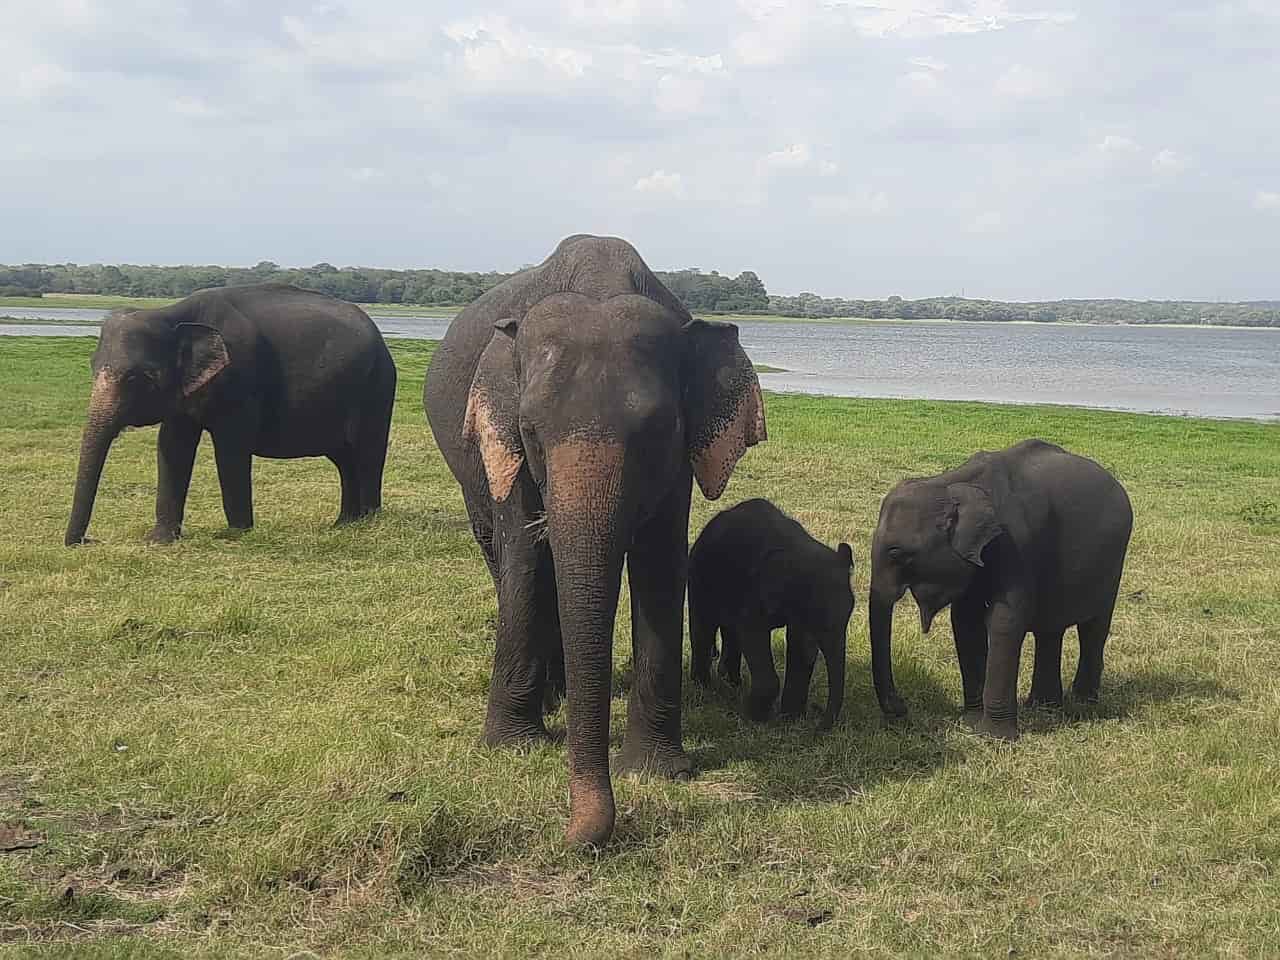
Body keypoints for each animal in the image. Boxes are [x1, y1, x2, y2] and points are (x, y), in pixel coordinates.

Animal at [65, 283, 396, 546]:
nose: (88, 540)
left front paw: (235, 534)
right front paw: (159, 540)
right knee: (345, 459)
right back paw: (344, 524)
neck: (171, 313)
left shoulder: (241, 379)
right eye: (92, 367)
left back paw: (368, 522)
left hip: (377, 388)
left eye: (138, 378)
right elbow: (172, 446)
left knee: (366, 453)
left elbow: (230, 447)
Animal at [424, 235, 766, 847]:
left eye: (659, 431)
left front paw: (656, 772)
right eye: (530, 431)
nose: (572, 836)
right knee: (500, 557)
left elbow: (660, 564)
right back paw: (552, 696)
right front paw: (512, 747)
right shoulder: (506, 447)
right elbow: (527, 560)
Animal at [688, 498, 853, 730]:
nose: (817, 721)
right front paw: (756, 717)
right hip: (699, 573)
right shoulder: (755, 592)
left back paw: (732, 683)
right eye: (820, 623)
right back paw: (704, 687)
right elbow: (752, 633)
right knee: (703, 626)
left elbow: (801, 646)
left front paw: (791, 719)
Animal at [868, 439, 1133, 740]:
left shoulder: (1018, 545)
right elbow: (965, 621)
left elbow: (1004, 620)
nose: (902, 709)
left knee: (1094, 627)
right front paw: (971, 723)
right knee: (1050, 631)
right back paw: (1044, 706)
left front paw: (994, 736)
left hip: (1112, 563)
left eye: (897, 553)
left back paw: (1082, 704)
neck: (951, 482)